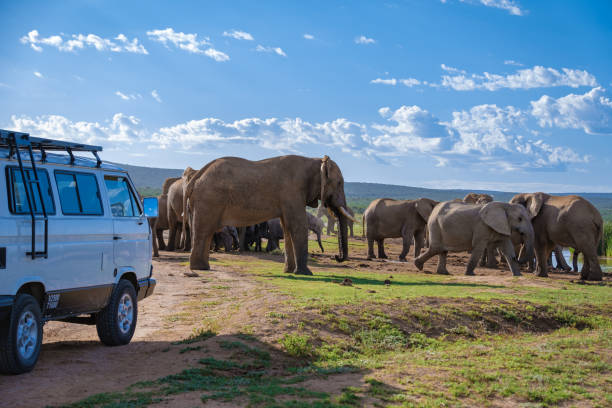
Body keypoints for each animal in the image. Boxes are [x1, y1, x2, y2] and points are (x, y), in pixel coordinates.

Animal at [183, 155, 354, 274]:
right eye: (339, 183)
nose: (336, 257)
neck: (314, 160)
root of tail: (196, 176)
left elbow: (288, 228)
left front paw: (289, 272)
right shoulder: (292, 192)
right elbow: (297, 226)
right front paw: (306, 274)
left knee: (203, 232)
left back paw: (202, 268)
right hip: (209, 200)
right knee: (204, 231)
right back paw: (200, 268)